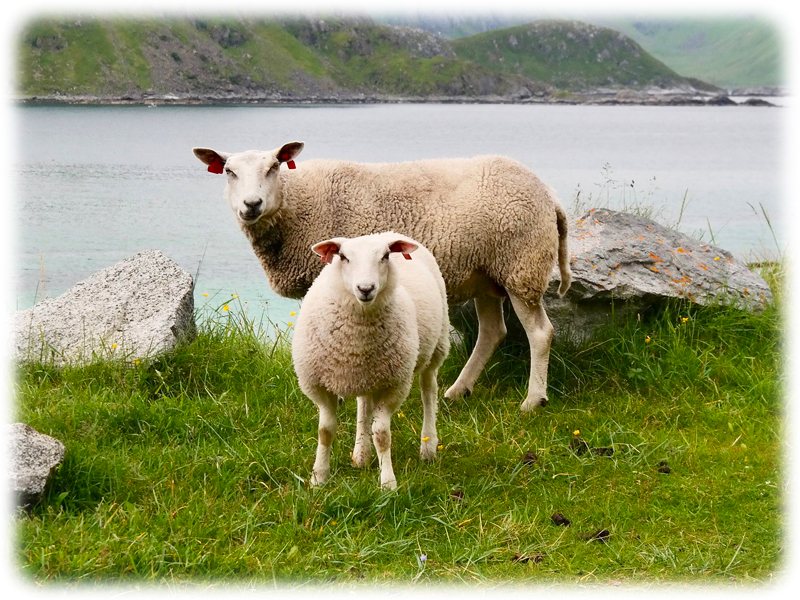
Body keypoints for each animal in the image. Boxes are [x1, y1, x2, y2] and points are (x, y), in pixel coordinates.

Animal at [193, 142, 571, 412]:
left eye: (273, 167)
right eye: (229, 172)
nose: (251, 204)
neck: (296, 204)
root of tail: (548, 193)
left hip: (522, 265)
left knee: (540, 333)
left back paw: (532, 400)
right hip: (488, 275)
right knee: (493, 332)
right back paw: (458, 391)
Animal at [291, 231, 450, 490]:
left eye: (385, 256)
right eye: (343, 257)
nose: (365, 288)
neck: (356, 340)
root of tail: (389, 233)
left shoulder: (395, 385)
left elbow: (382, 435)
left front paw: (388, 483)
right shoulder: (319, 386)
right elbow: (325, 431)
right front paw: (318, 478)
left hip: (437, 345)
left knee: (429, 391)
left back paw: (428, 447)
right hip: (368, 375)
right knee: (364, 404)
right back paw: (361, 455)